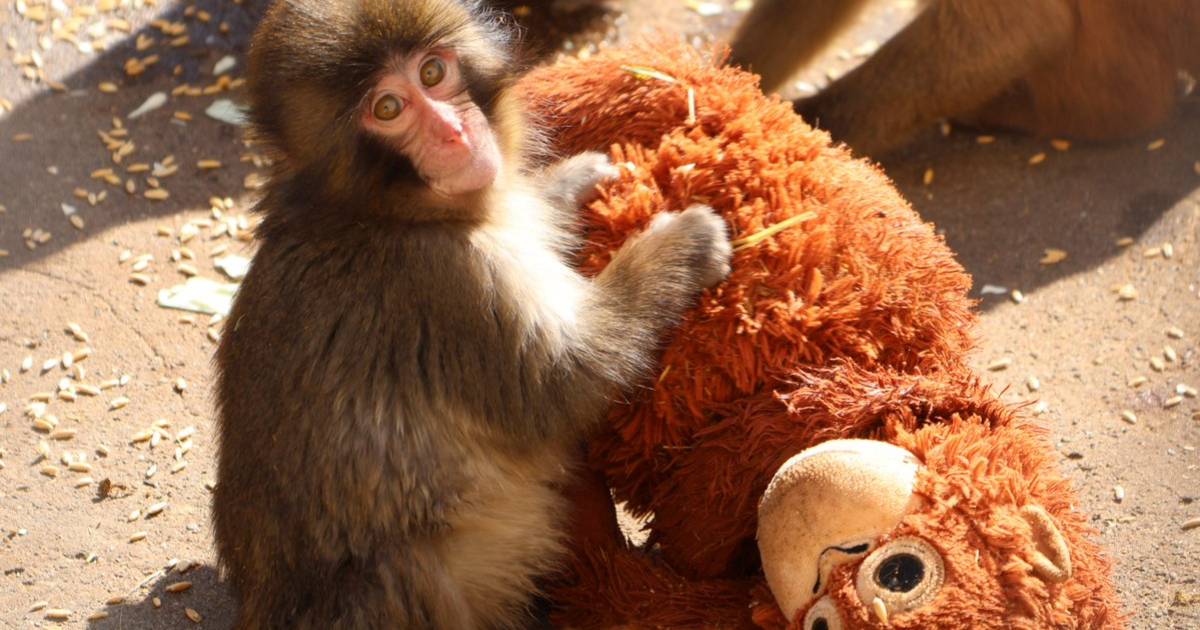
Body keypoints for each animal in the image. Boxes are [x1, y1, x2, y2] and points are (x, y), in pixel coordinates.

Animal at [210, 1, 732, 628]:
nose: (454, 132)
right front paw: (682, 245)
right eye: (388, 108)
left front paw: (569, 183)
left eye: (433, 73)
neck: (377, 212)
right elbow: (563, 383)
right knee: (402, 569)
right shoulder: (446, 281)